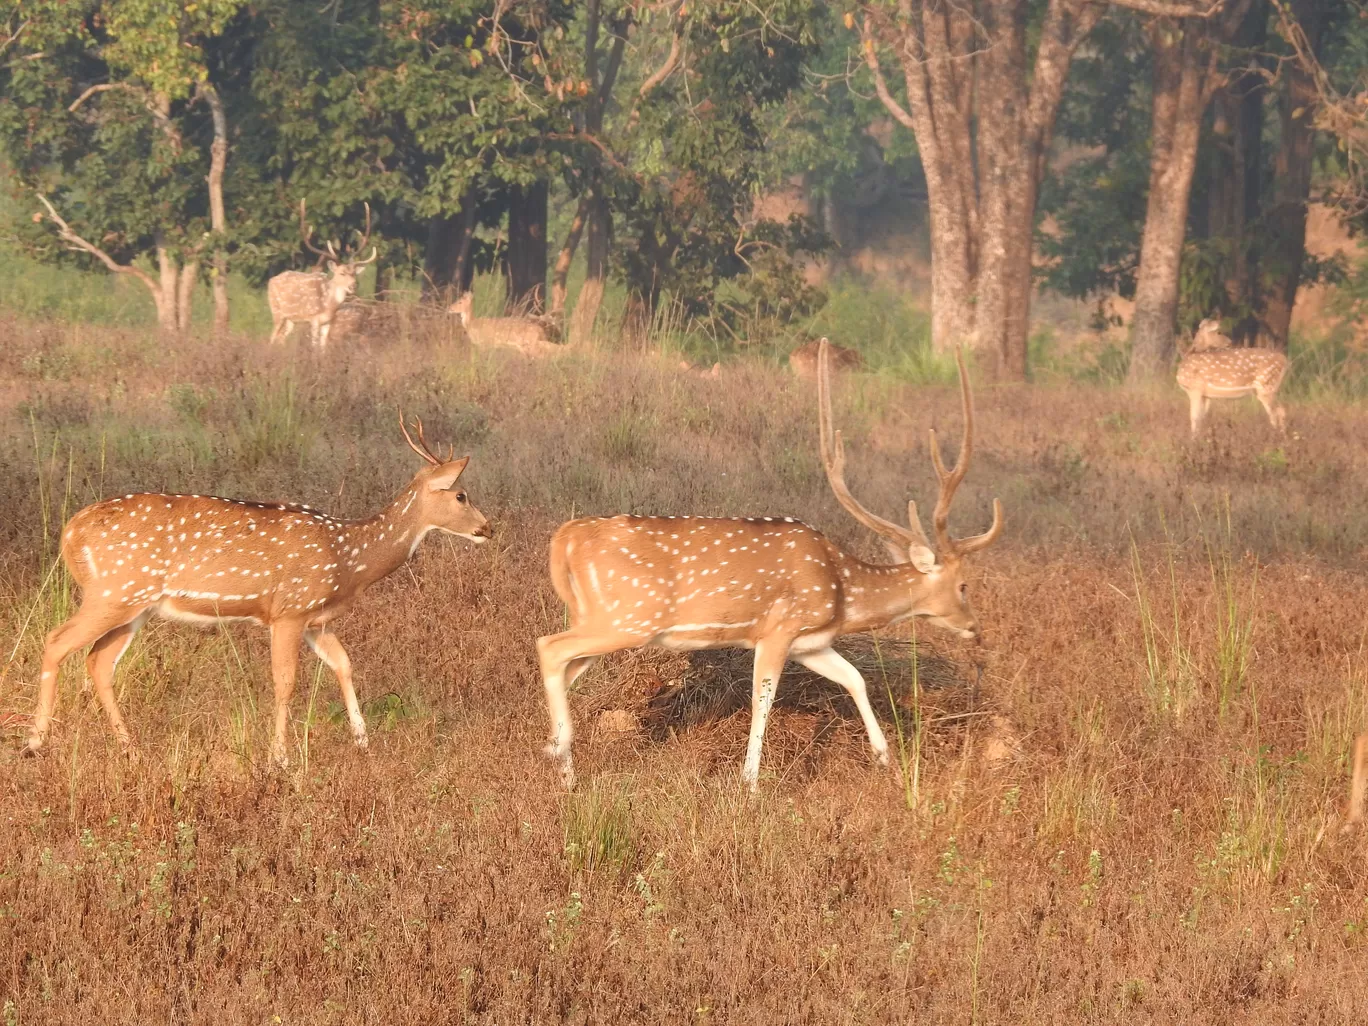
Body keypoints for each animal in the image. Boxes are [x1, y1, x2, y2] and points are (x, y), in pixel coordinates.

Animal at [26, 415, 492, 766]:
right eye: (462, 495)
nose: (487, 528)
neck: (348, 559)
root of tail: (70, 532)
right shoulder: (289, 610)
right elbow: (285, 682)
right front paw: (279, 757)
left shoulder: (315, 619)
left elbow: (344, 664)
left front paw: (363, 740)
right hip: (114, 590)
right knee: (55, 641)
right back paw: (35, 742)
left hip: (134, 604)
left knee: (98, 661)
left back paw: (131, 749)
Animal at [268, 201, 380, 350]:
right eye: (341, 273)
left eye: (354, 274)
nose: (353, 285)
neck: (328, 305)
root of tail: (271, 280)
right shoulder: (313, 318)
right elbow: (314, 347)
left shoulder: (328, 322)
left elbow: (323, 348)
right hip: (276, 310)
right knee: (271, 337)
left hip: (290, 319)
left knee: (281, 338)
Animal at [536, 337, 1006, 793]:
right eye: (964, 585)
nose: (975, 627)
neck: (842, 592)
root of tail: (566, 538)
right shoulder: (778, 628)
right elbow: (763, 700)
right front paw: (751, 784)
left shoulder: (810, 643)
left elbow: (854, 677)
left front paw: (884, 758)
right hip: (629, 617)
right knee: (549, 646)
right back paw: (559, 755)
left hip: (599, 617)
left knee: (564, 665)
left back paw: (563, 761)